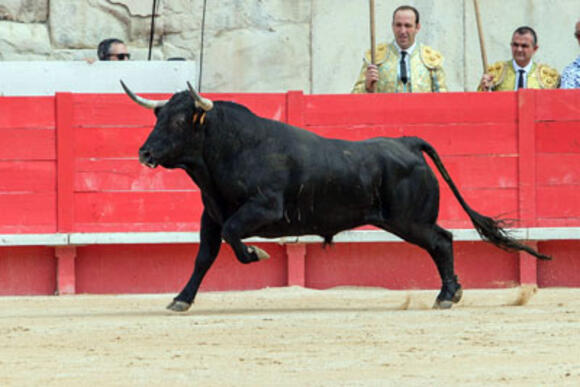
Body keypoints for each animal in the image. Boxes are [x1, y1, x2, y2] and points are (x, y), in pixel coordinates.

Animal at [121, 82, 548, 312]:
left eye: (179, 120)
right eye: (158, 117)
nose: (144, 152)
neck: (229, 148)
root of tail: (406, 141)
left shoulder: (262, 208)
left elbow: (233, 236)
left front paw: (256, 254)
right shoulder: (209, 216)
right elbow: (204, 257)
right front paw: (181, 299)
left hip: (410, 221)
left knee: (442, 241)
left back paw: (447, 295)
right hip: (409, 220)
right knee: (442, 241)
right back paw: (451, 292)